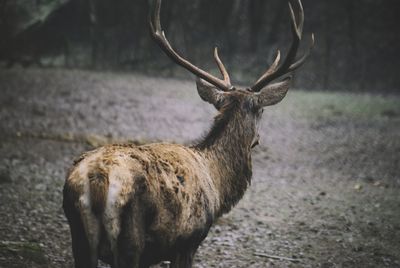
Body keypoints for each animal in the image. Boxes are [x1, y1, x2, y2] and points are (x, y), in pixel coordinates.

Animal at [62, 0, 314, 266]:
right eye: (262, 110)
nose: (257, 140)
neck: (217, 185)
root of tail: (97, 179)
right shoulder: (188, 241)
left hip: (77, 234)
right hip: (131, 240)